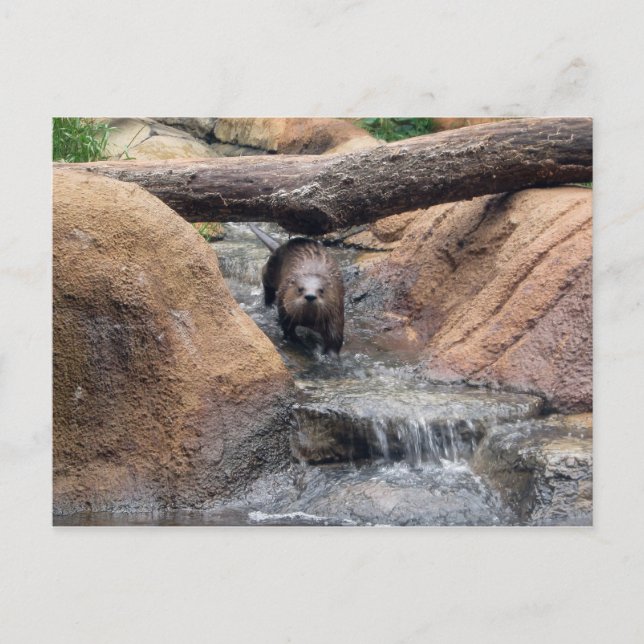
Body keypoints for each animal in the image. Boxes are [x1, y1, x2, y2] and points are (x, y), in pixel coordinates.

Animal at [249, 224, 345, 354]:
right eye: (300, 289)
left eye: (321, 290)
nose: (310, 296)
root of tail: (281, 245)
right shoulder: (284, 306)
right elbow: (288, 329)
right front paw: (300, 344)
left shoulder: (336, 312)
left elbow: (335, 338)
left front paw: (331, 356)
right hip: (272, 268)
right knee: (265, 277)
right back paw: (269, 304)